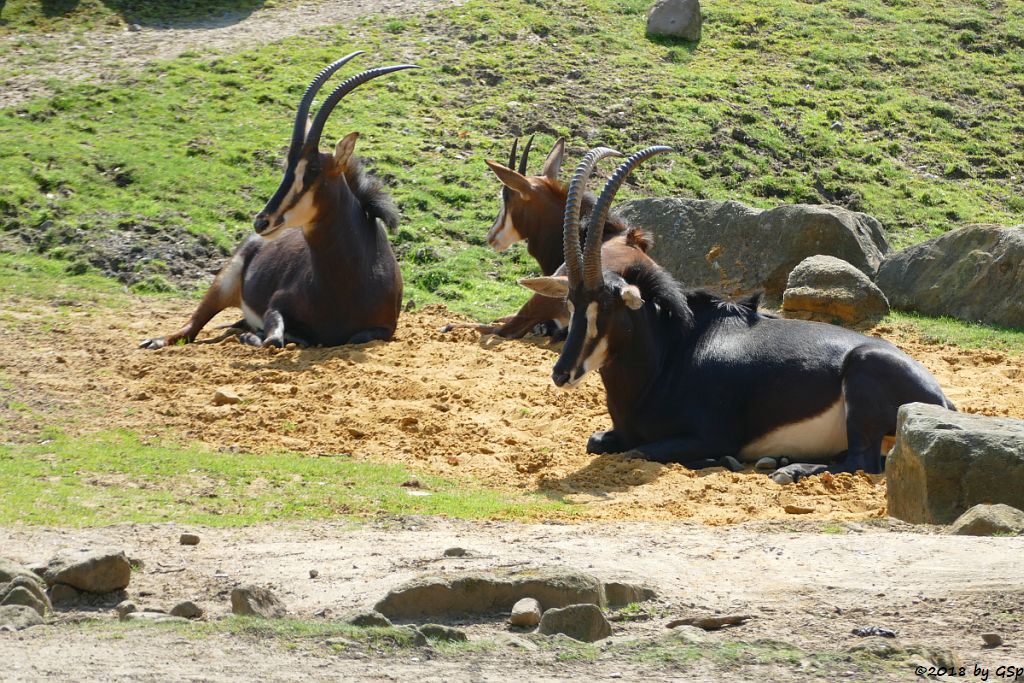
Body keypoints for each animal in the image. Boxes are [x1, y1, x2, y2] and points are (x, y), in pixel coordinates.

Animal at [138, 53, 413, 350]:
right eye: (286, 166)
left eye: (313, 169)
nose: (262, 222)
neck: (349, 278)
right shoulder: (275, 305)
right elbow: (275, 337)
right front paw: (257, 336)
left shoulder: (384, 329)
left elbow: (352, 336)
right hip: (223, 284)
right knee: (191, 327)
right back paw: (157, 340)